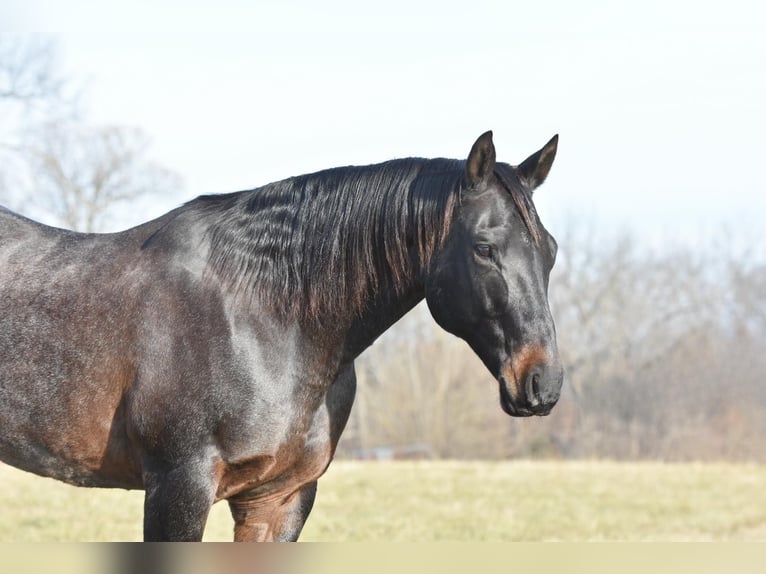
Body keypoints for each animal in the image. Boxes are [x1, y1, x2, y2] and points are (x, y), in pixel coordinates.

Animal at [0, 133, 564, 544]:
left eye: (551, 249)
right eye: (485, 247)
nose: (543, 383)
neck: (262, 318)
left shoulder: (280, 499)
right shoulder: (177, 487)